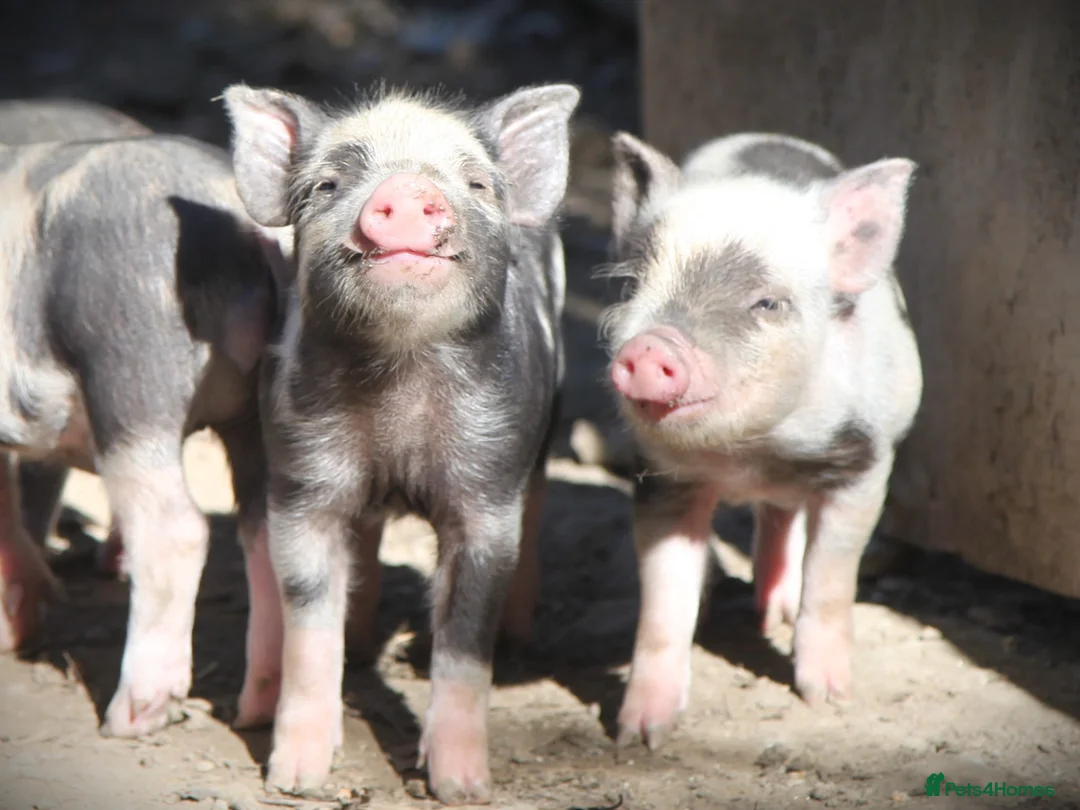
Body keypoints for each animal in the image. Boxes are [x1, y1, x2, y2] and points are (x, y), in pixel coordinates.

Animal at [0, 118, 288, 740]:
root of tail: (245, 221)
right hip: (260, 408)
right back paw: (256, 709)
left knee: (176, 528)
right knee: (268, 531)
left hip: (130, 368)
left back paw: (130, 717)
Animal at [221, 80, 579, 804]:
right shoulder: (301, 483)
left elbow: (465, 640)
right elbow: (308, 624)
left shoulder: (487, 492)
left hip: (544, 426)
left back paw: (518, 637)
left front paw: (463, 787)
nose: (410, 188)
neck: (398, 388)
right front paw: (294, 778)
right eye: (328, 184)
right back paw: (361, 645)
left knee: (536, 507)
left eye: (476, 183)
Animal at [600, 131, 923, 748]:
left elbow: (831, 578)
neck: (754, 453)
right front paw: (639, 736)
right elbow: (664, 602)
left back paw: (776, 614)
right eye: (632, 285)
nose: (652, 347)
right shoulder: (662, 479)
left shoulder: (865, 465)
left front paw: (827, 697)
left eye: (767, 303)